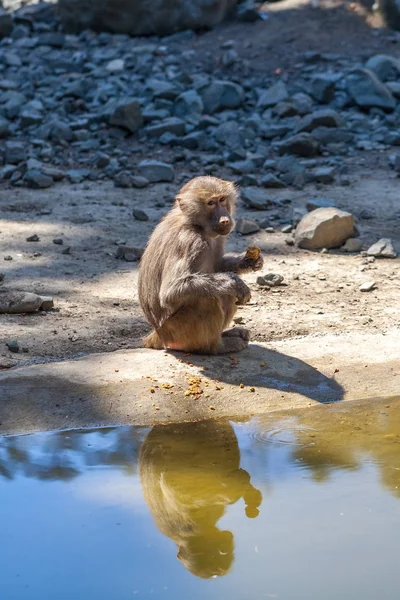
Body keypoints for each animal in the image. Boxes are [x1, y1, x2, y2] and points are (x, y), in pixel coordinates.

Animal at [139, 173, 264, 354]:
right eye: (211, 203)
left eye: (222, 199)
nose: (225, 220)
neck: (196, 225)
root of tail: (158, 334)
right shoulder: (190, 242)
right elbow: (171, 291)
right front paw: (235, 282)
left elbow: (218, 266)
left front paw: (248, 261)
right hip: (177, 331)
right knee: (208, 298)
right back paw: (217, 347)